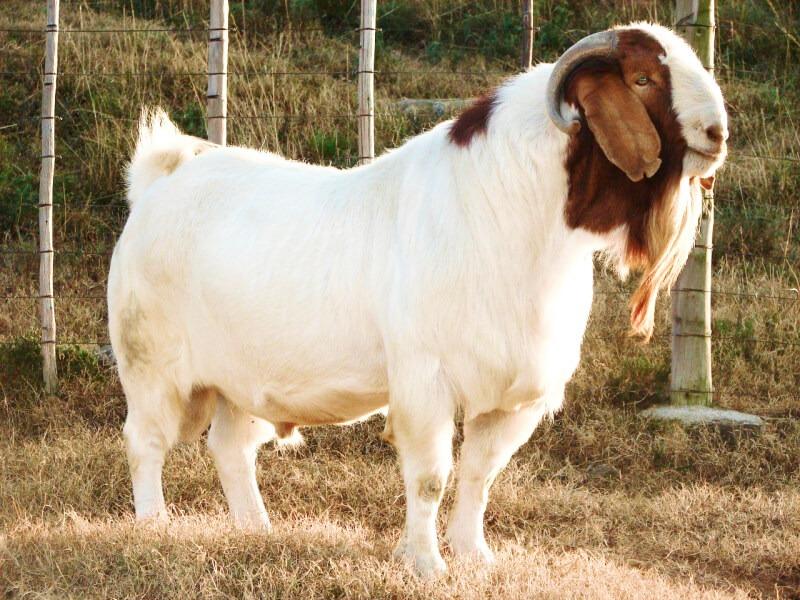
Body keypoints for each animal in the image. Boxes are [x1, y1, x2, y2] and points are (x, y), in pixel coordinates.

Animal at [109, 22, 728, 576]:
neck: (510, 209)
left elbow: (480, 475)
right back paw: (155, 525)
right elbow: (430, 476)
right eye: (643, 78)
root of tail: (158, 183)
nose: (717, 132)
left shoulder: (515, 397)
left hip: (237, 379)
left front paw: (476, 558)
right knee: (145, 440)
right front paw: (426, 563)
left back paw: (256, 531)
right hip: (151, 365)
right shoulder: (425, 381)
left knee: (231, 447)